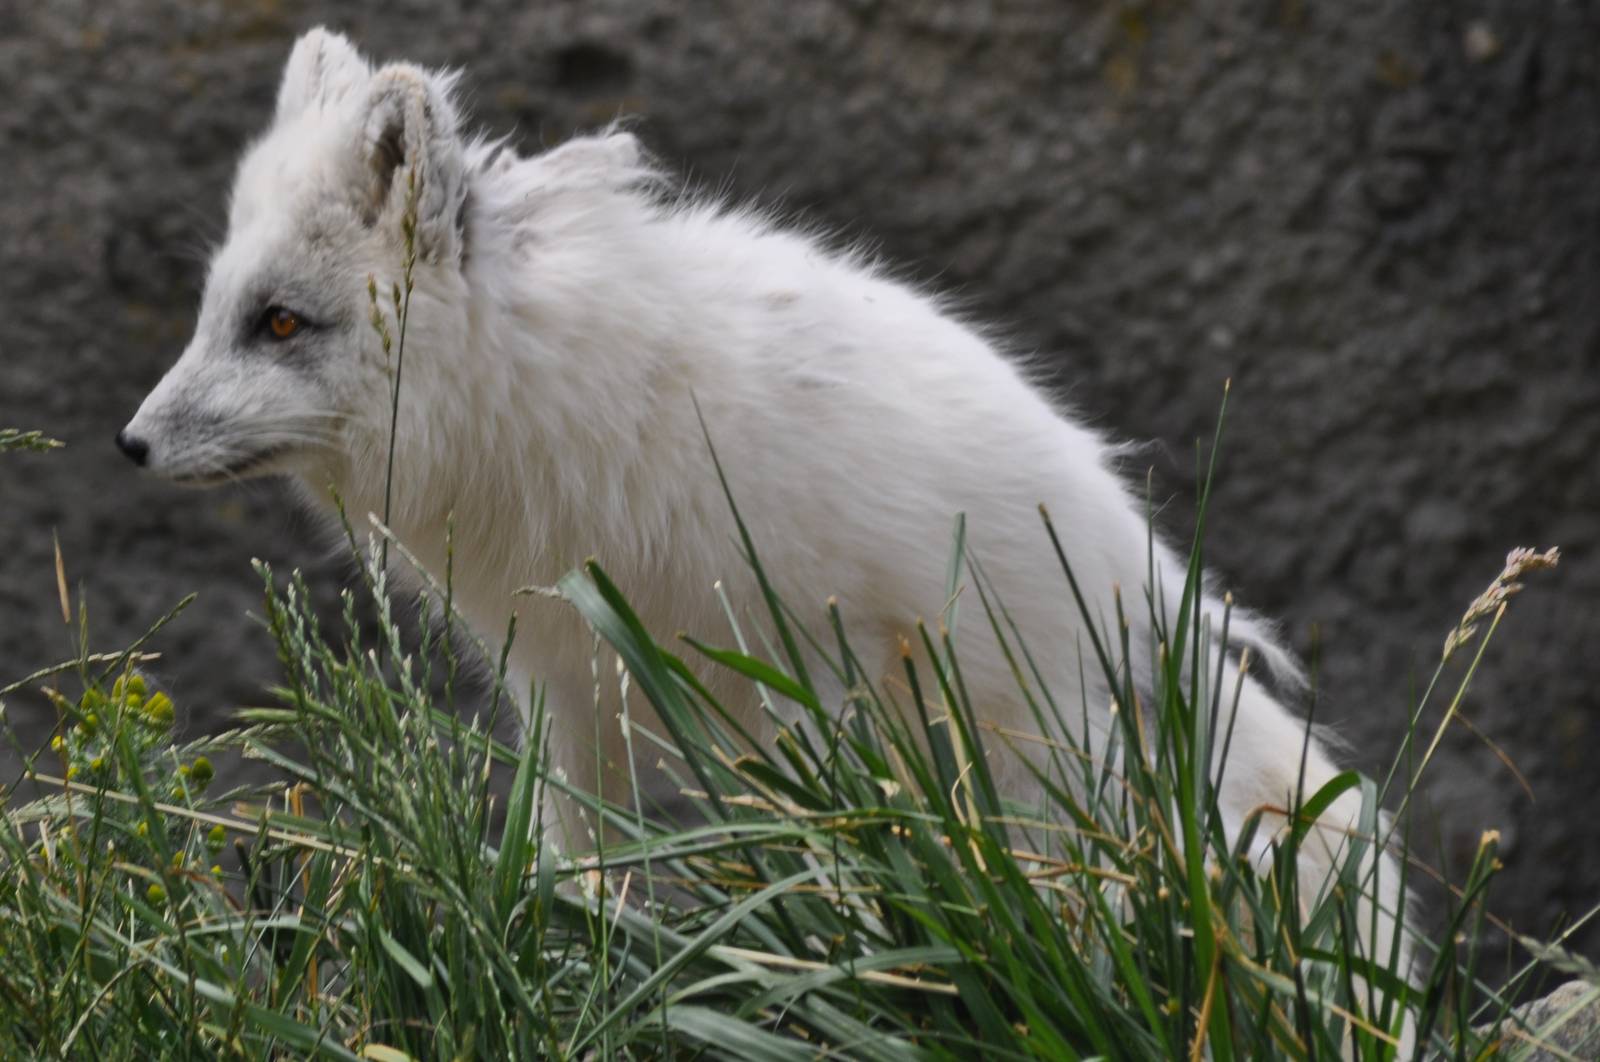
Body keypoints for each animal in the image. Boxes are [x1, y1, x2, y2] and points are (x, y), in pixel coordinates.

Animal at [119, 27, 1412, 1013]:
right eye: (217, 310)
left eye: (280, 324)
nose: (129, 443)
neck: (550, 388)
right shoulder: (568, 681)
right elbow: (575, 863)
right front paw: (571, 966)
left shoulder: (803, 667)